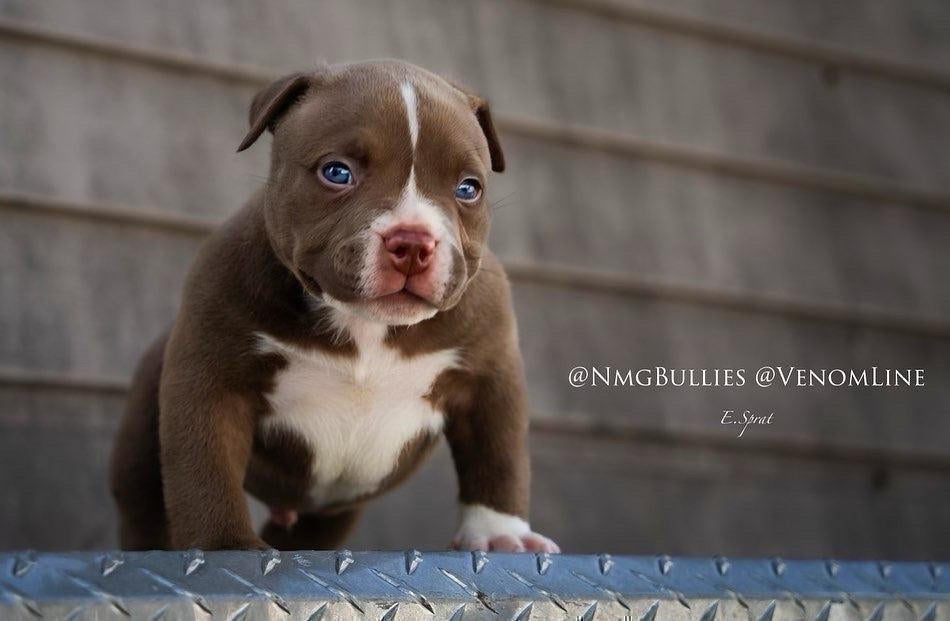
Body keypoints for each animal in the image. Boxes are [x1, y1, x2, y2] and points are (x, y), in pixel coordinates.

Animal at [110, 59, 560, 552]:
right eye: (337, 173)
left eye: (468, 189)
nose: (413, 241)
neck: (366, 326)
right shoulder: (211, 376)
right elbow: (204, 466)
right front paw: (224, 545)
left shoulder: (489, 374)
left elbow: (498, 456)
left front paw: (500, 535)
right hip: (142, 435)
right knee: (143, 503)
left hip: (332, 515)